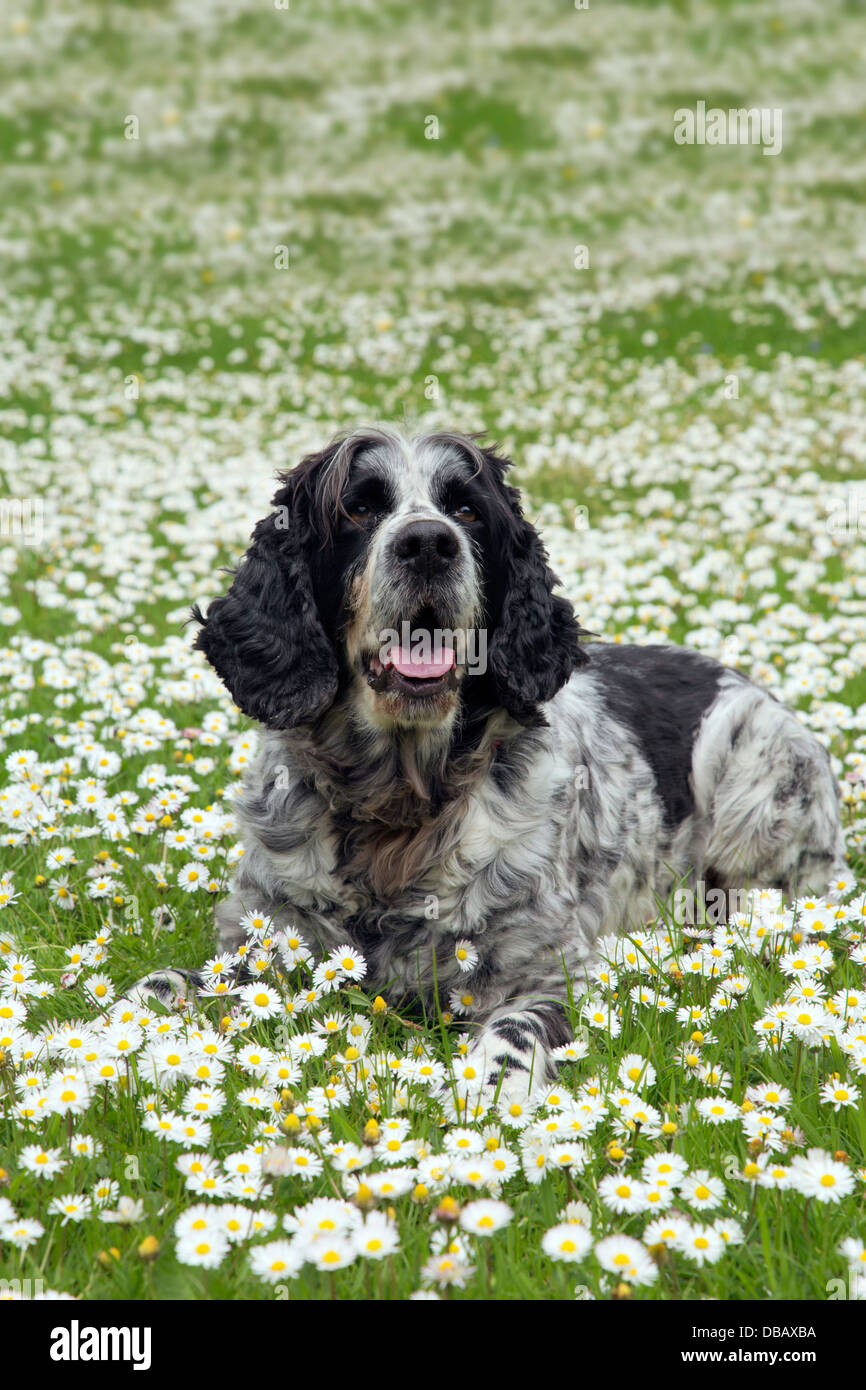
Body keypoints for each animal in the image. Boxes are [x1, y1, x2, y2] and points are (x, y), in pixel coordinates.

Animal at [139, 428, 845, 1100]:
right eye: (360, 508)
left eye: (467, 511)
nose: (428, 543)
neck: (399, 810)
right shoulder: (267, 941)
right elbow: (160, 986)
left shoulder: (547, 969)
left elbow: (515, 1030)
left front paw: (489, 1093)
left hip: (754, 781)